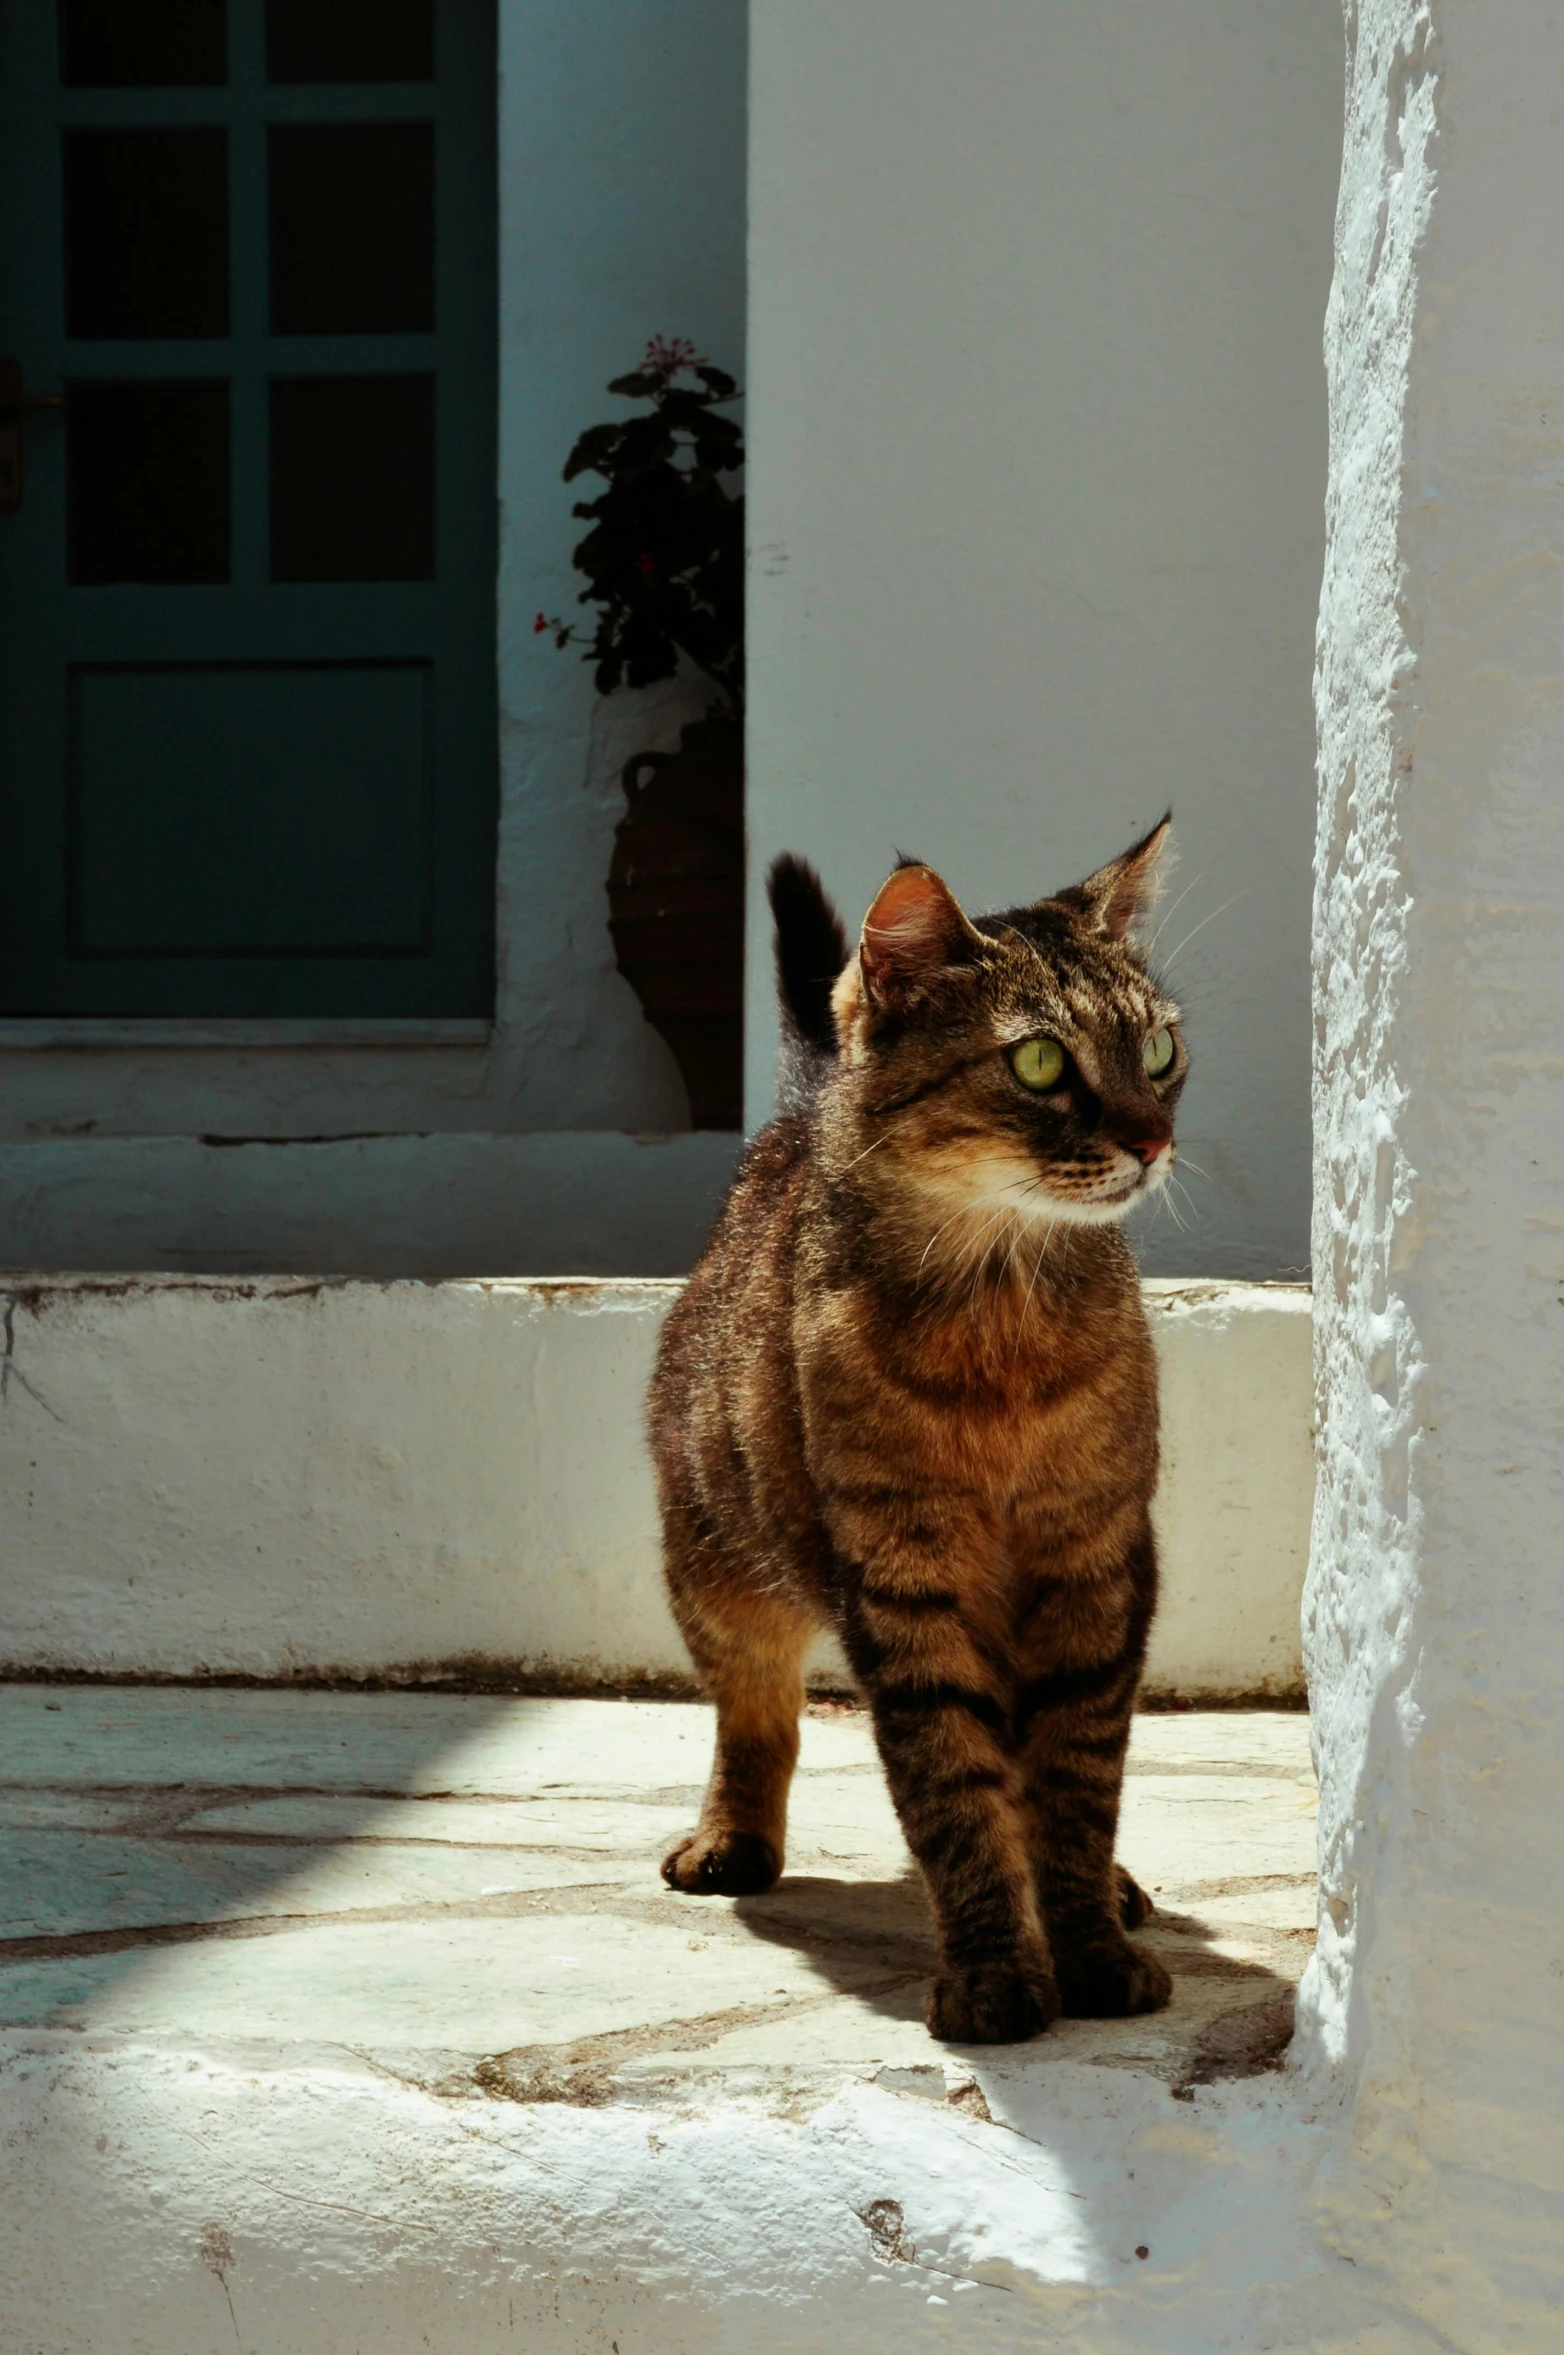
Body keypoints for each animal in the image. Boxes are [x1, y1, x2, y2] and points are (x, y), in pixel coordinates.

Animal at [645, 824, 1187, 2044]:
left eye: (1160, 1049)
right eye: (1039, 1064)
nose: (1152, 1137)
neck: (1002, 1331)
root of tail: (807, 1100)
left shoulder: (1097, 1568)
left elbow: (1076, 1783)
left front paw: (1088, 1942)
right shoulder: (900, 1586)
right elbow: (951, 1788)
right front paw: (994, 1972)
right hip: (712, 1560)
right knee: (755, 1712)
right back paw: (732, 1836)